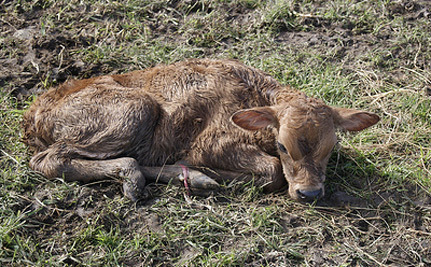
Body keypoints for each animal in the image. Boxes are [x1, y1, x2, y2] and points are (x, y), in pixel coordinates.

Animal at [23, 59, 380, 203]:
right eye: (282, 145)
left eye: (330, 148)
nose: (309, 193)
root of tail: (35, 110)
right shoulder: (212, 144)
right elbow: (273, 171)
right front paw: (209, 174)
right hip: (132, 109)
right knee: (49, 161)